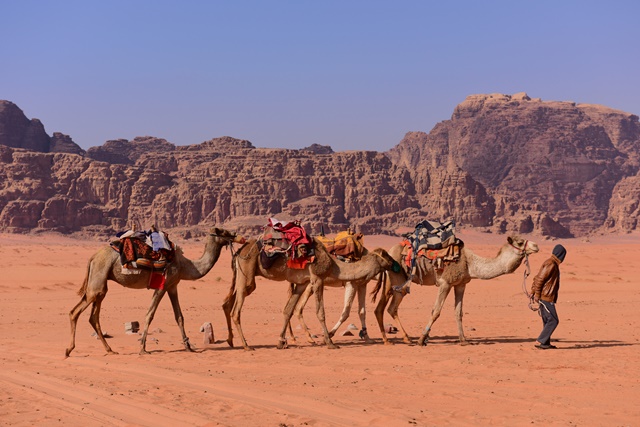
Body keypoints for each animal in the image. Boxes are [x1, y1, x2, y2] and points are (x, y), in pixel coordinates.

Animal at [65, 227, 245, 357]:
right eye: (223, 232)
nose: (239, 237)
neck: (186, 265)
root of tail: (92, 257)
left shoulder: (173, 285)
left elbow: (179, 317)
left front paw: (188, 347)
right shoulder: (162, 286)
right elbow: (149, 314)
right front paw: (142, 348)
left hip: (100, 286)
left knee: (93, 317)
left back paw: (110, 350)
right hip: (98, 281)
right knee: (75, 312)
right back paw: (69, 350)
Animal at [222, 238, 400, 350]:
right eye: (385, 255)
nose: (395, 264)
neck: (335, 265)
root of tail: (238, 251)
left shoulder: (302, 283)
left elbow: (288, 310)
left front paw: (280, 342)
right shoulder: (317, 279)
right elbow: (320, 312)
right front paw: (330, 342)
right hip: (246, 274)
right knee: (236, 310)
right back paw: (246, 345)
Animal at [371, 235, 539, 346]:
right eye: (520, 242)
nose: (536, 246)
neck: (470, 264)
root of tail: (389, 251)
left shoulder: (461, 284)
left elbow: (458, 312)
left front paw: (464, 340)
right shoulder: (445, 283)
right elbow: (436, 311)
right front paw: (422, 338)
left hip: (394, 281)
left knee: (383, 308)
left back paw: (394, 339)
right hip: (398, 279)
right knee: (389, 307)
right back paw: (403, 339)